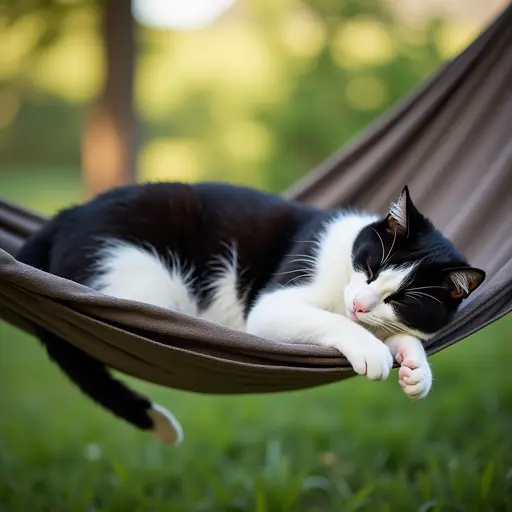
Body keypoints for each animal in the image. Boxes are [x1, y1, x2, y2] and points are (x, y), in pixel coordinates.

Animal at [15, 183, 484, 444]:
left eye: (400, 300)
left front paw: (415, 368)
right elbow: (328, 320)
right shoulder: (270, 306)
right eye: (369, 266)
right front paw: (372, 350)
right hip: (144, 276)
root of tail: (63, 217)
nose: (359, 304)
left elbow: (399, 334)